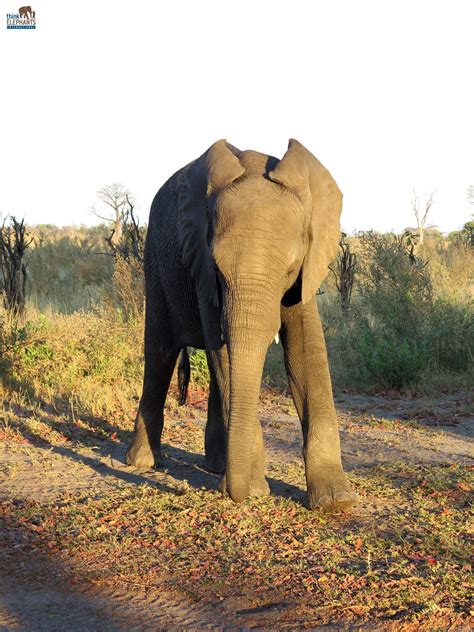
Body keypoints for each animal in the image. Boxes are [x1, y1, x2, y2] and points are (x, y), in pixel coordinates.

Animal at [126, 141, 356, 512]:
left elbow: (307, 351)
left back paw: (217, 465)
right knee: (161, 353)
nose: (240, 494)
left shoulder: (308, 270)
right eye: (218, 268)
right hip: (155, 259)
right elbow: (223, 355)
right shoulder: (201, 267)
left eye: (290, 268)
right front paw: (257, 490)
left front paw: (336, 501)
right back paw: (144, 462)